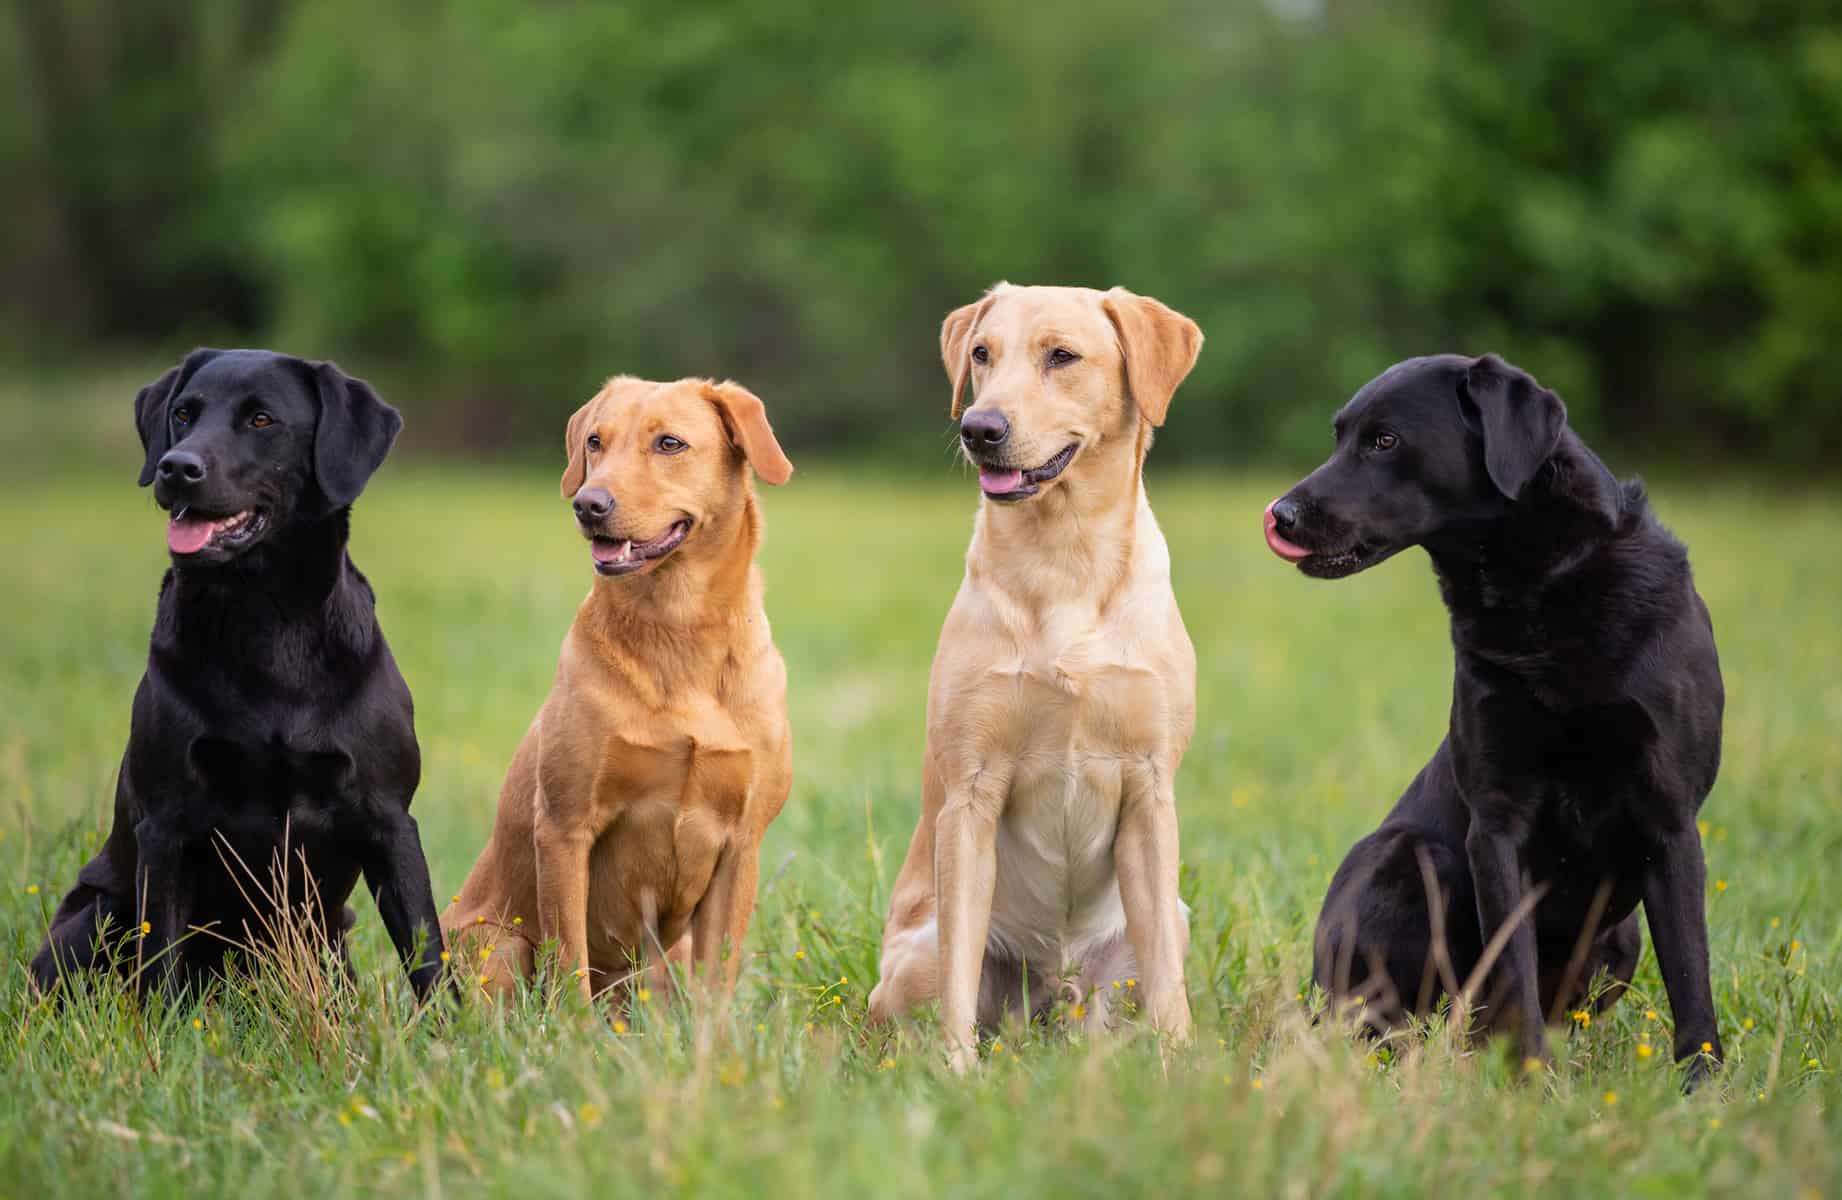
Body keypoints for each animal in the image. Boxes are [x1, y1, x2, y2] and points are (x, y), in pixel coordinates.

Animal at [34, 350, 443, 1002]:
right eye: (183, 413)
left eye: (260, 419)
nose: (177, 467)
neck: (264, 623)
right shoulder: (167, 824)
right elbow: (160, 960)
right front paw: (164, 1029)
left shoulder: (389, 818)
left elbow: (427, 953)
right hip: (95, 913)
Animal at [447, 379, 799, 1002]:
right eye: (595, 441)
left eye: (669, 443)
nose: (588, 504)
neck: (679, 631)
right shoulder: (564, 827)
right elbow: (570, 964)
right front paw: (574, 1030)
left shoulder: (742, 844)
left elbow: (719, 977)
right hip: (496, 946)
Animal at [865, 283, 1200, 1069]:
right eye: (982, 354)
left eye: (1062, 356)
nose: (979, 428)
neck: (1063, 556)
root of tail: (1054, 990)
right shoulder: (970, 797)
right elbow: (959, 975)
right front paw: (956, 1072)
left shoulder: (1149, 790)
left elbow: (1167, 984)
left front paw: (1180, 1066)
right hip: (913, 957)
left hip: (1167, 918)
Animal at [1267, 353, 1724, 1076]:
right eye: (1338, 436)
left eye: (1384, 440)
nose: (1281, 515)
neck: (1543, 586)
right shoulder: (1497, 821)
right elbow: (1513, 966)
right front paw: (1532, 1080)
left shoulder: (1670, 819)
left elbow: (1690, 974)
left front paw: (1704, 1089)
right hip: (1404, 855)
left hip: (1621, 936)